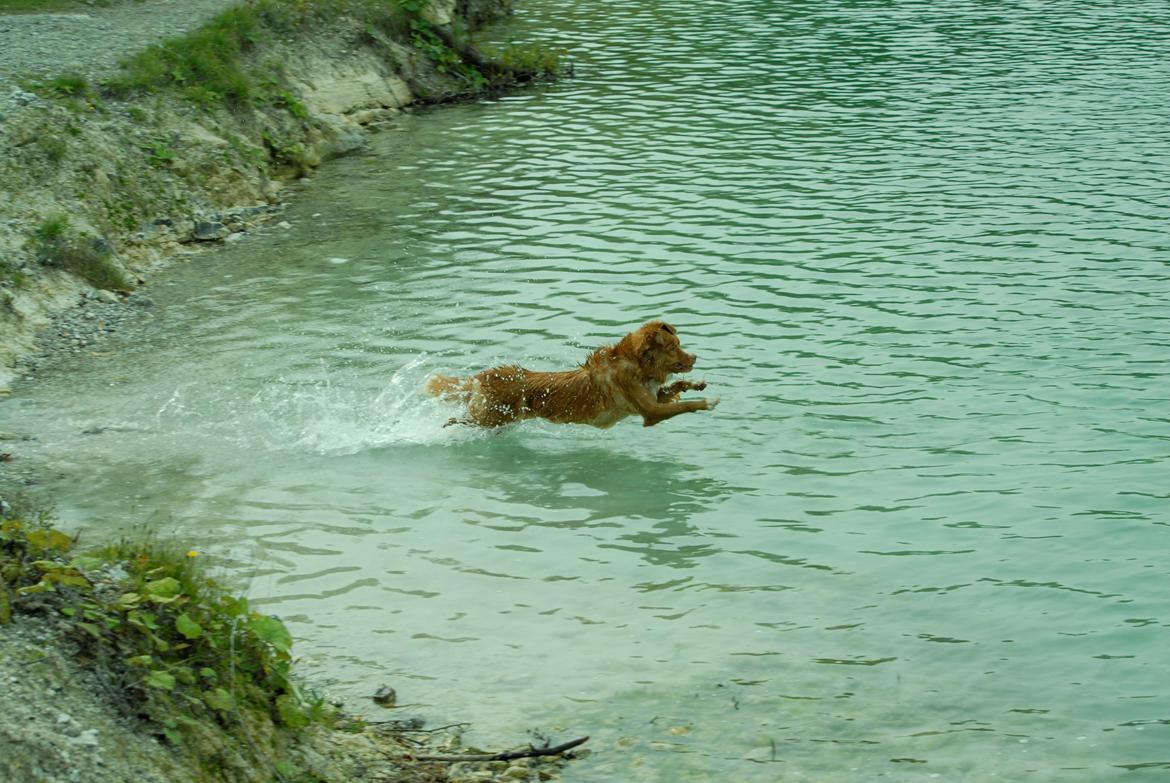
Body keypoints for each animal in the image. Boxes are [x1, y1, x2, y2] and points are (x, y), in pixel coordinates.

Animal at [425, 318, 716, 428]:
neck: (638, 368)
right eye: (673, 347)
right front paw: (707, 402)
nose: (695, 357)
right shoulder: (651, 412)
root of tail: (481, 377)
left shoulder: (653, 398)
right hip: (490, 417)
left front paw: (696, 384)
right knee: (458, 420)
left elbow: (676, 389)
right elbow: (685, 406)